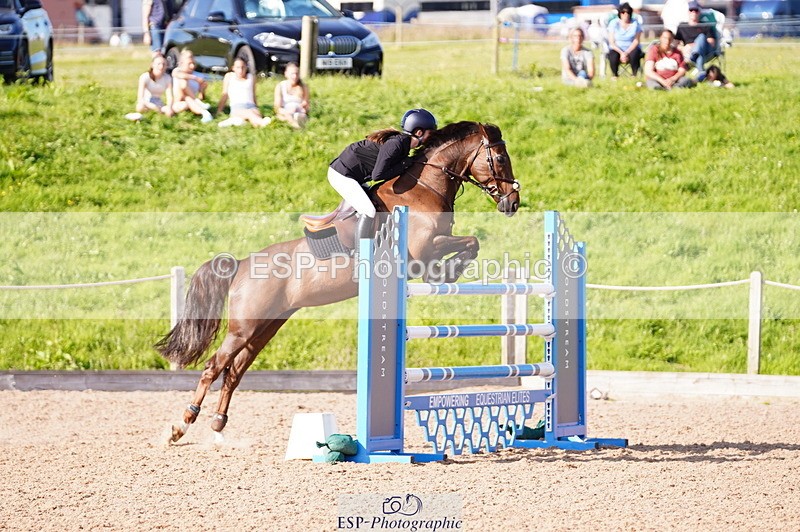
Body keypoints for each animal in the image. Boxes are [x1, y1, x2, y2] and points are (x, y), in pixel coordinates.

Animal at [156, 121, 521, 443]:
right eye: (500, 158)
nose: (512, 202)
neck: (424, 188)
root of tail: (242, 265)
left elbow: (471, 243)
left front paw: (448, 273)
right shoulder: (422, 249)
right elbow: (468, 242)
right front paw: (445, 273)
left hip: (266, 326)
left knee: (234, 371)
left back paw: (218, 425)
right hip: (244, 327)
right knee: (214, 367)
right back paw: (181, 425)